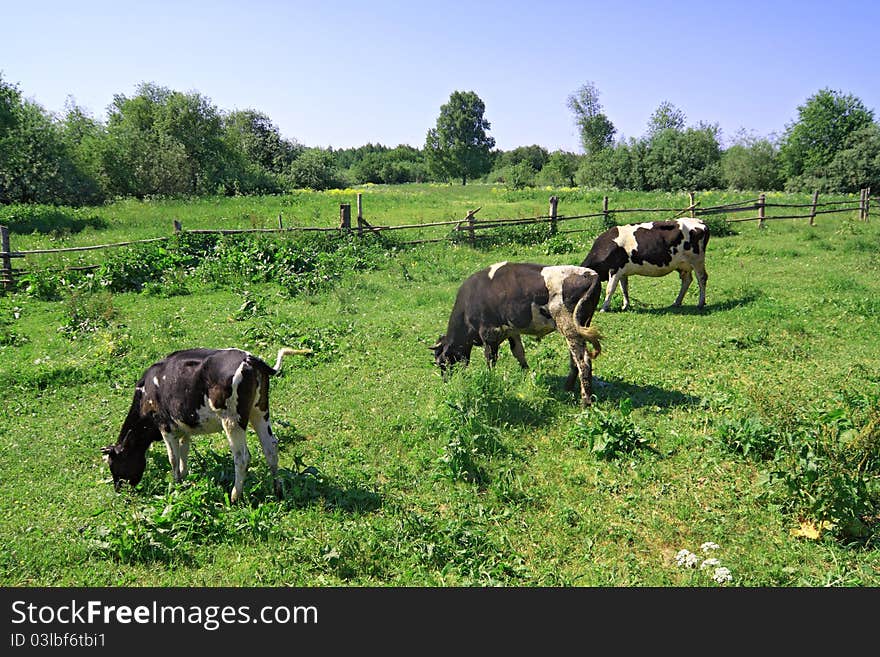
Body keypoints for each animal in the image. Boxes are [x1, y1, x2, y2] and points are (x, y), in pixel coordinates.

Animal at [101, 346, 310, 500]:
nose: (118, 490)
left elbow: (173, 458)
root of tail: (249, 358)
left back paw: (235, 497)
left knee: (242, 457)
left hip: (232, 419)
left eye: (113, 463)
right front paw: (184, 477)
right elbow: (184, 451)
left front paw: (175, 485)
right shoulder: (183, 425)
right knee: (271, 448)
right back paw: (278, 491)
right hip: (259, 411)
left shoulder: (164, 426)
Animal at [428, 262, 604, 404]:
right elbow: (519, 354)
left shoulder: (489, 333)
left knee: (583, 361)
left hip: (569, 327)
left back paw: (586, 401)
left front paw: (490, 379)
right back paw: (567, 388)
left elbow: (490, 359)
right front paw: (527, 377)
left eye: (442, 362)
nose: (446, 383)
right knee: (574, 360)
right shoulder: (512, 332)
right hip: (579, 327)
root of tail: (590, 274)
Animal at [580, 218, 712, 312]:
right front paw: (626, 305)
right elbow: (624, 288)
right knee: (687, 280)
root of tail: (700, 222)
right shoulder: (622, 271)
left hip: (697, 260)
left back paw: (700, 303)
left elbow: (610, 289)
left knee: (702, 278)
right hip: (682, 264)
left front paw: (604, 308)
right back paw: (676, 302)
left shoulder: (614, 269)